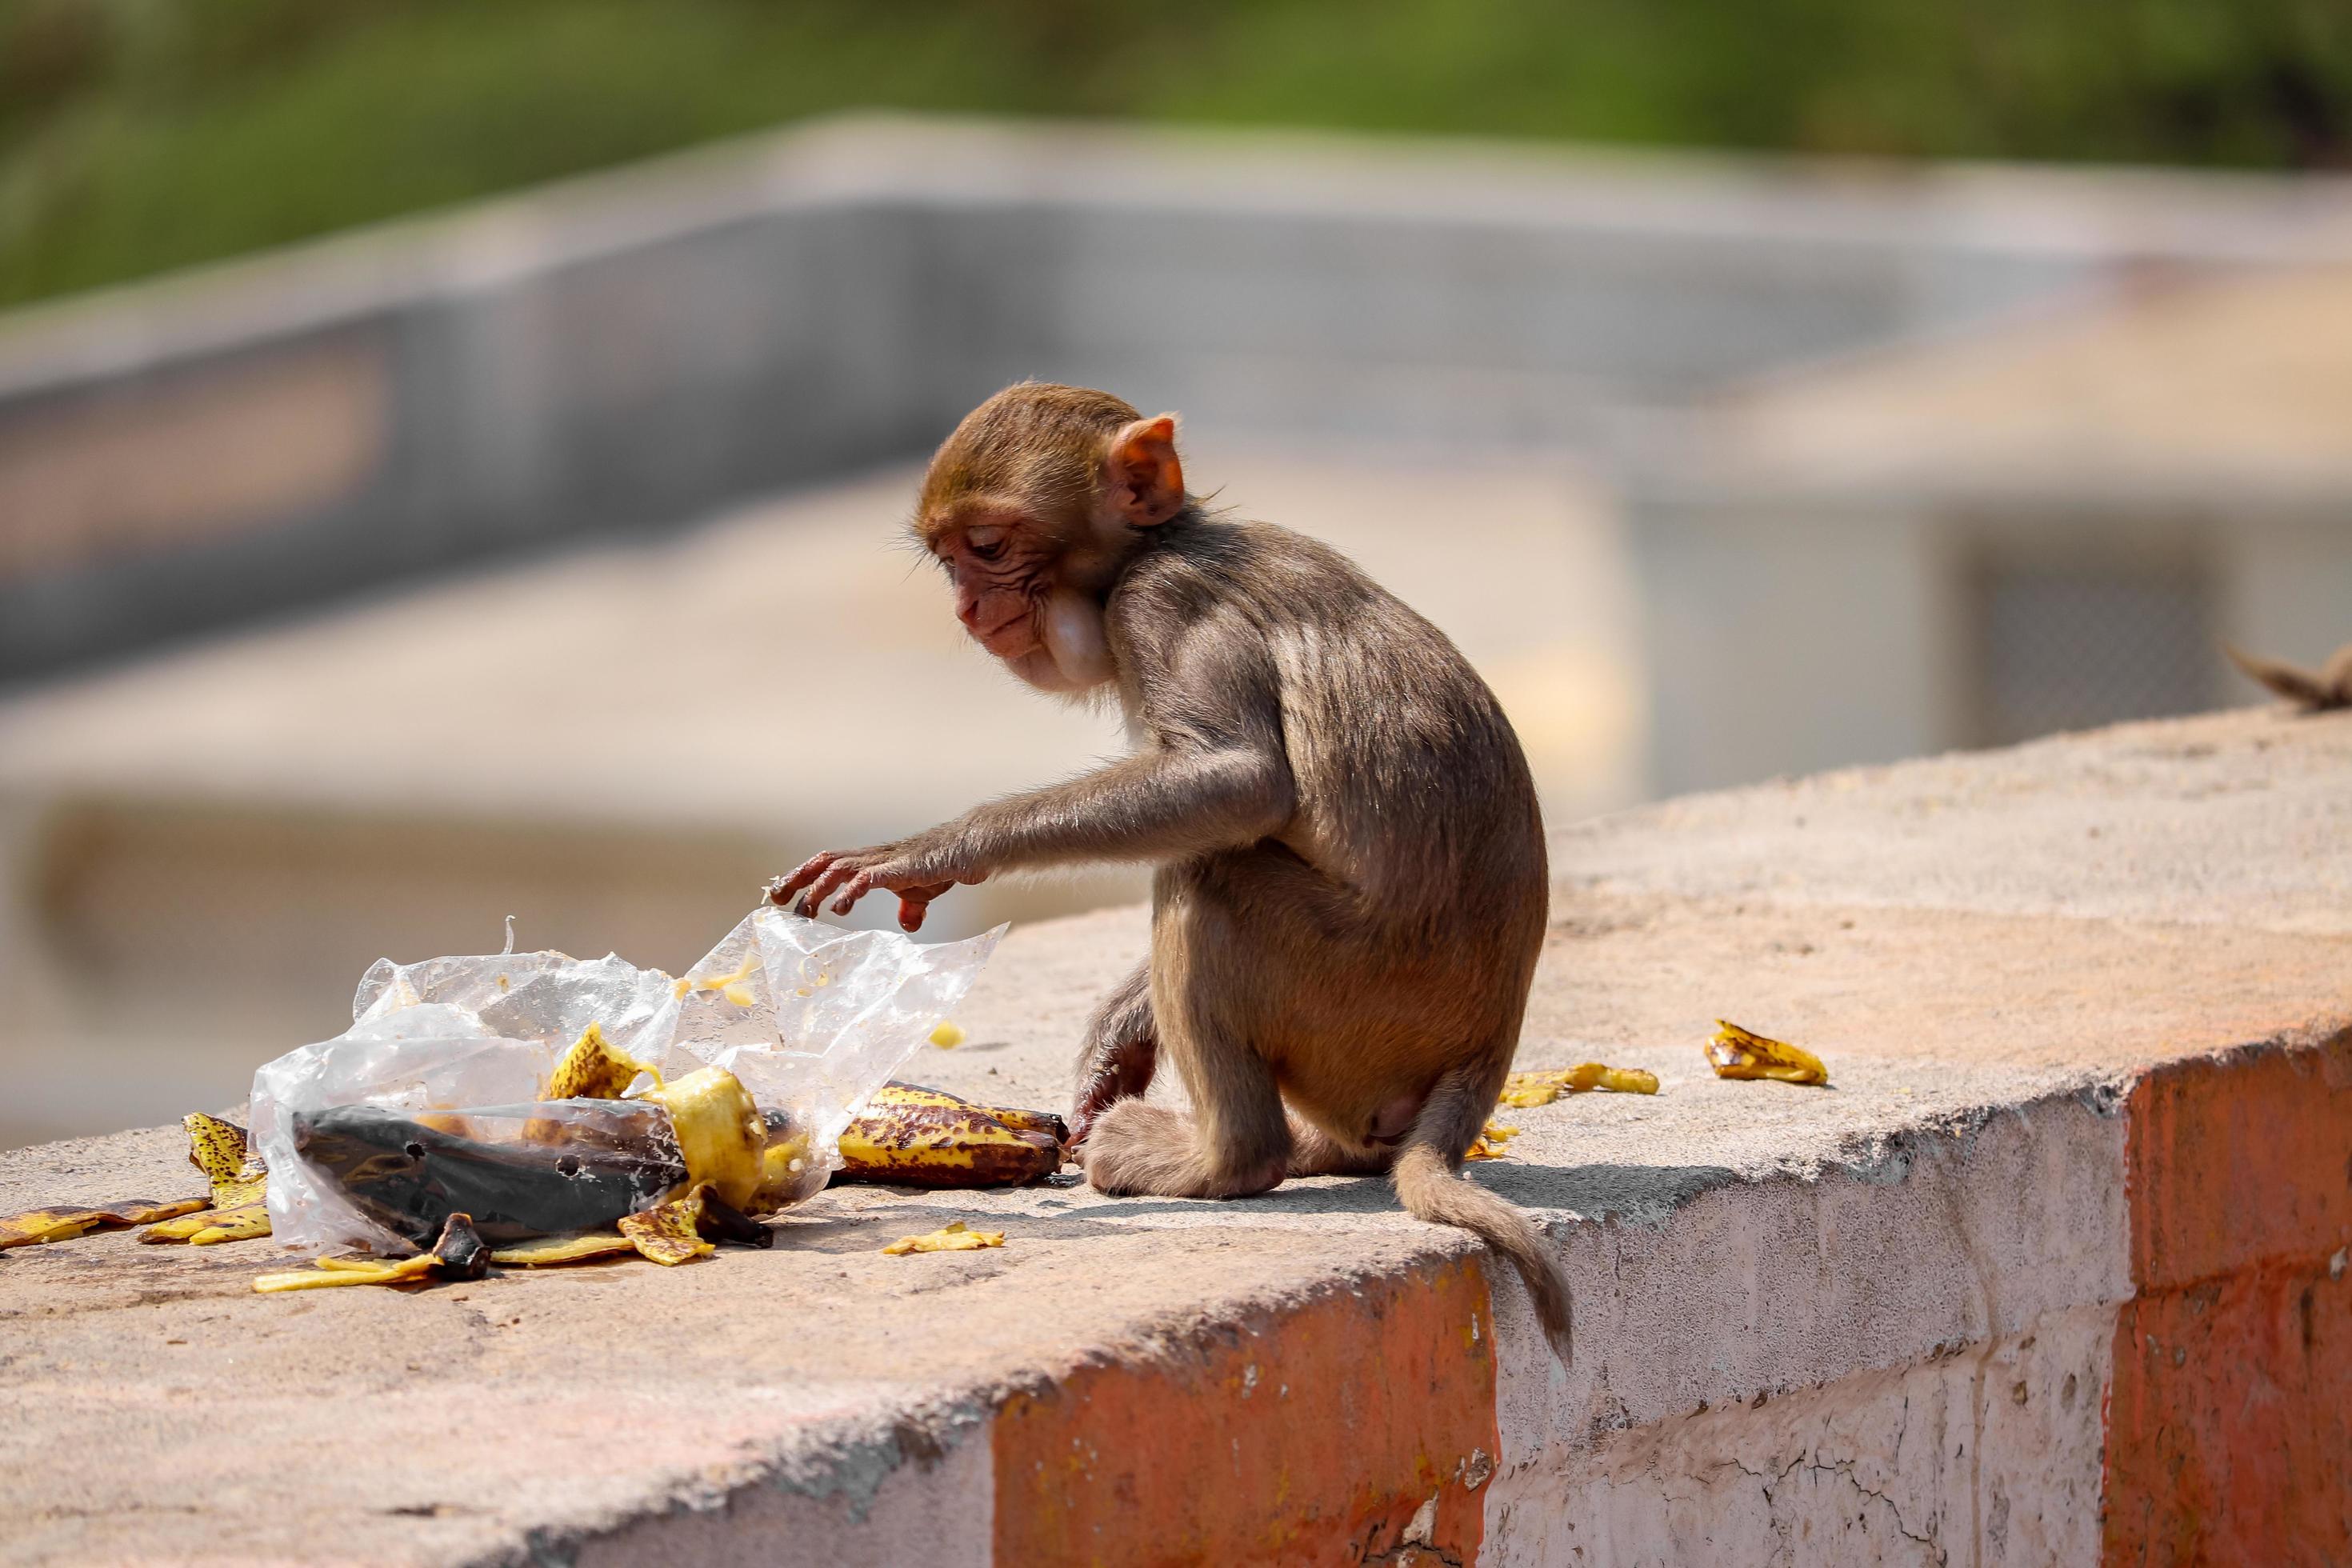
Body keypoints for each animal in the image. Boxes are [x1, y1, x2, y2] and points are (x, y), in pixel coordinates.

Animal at [771, 382, 1570, 1363]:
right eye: (949, 559)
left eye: (988, 547)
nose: (965, 607)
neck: (1156, 546)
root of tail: (1488, 1049)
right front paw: (1120, 1037)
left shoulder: (1158, 604)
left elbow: (1237, 779)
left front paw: (941, 849)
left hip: (1363, 999)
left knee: (1212, 878)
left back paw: (1225, 1158)